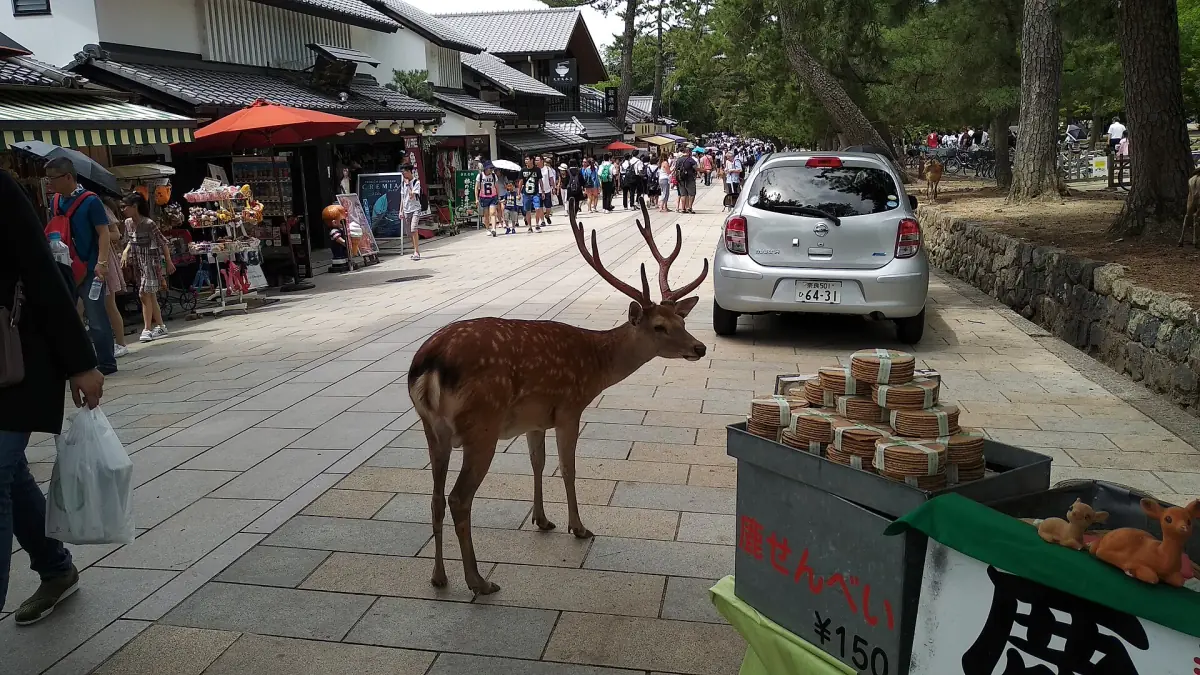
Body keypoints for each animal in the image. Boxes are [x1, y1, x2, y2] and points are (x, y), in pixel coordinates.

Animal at [407, 198, 709, 595]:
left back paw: (439, 577)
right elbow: (567, 468)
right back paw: (479, 581)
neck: (596, 366)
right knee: (459, 498)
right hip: (481, 426)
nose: (699, 347)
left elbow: (538, 462)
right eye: (659, 326)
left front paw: (542, 519)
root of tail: (430, 363)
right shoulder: (569, 407)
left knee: (435, 498)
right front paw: (578, 527)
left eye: (682, 320)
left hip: (432, 430)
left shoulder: (534, 419)